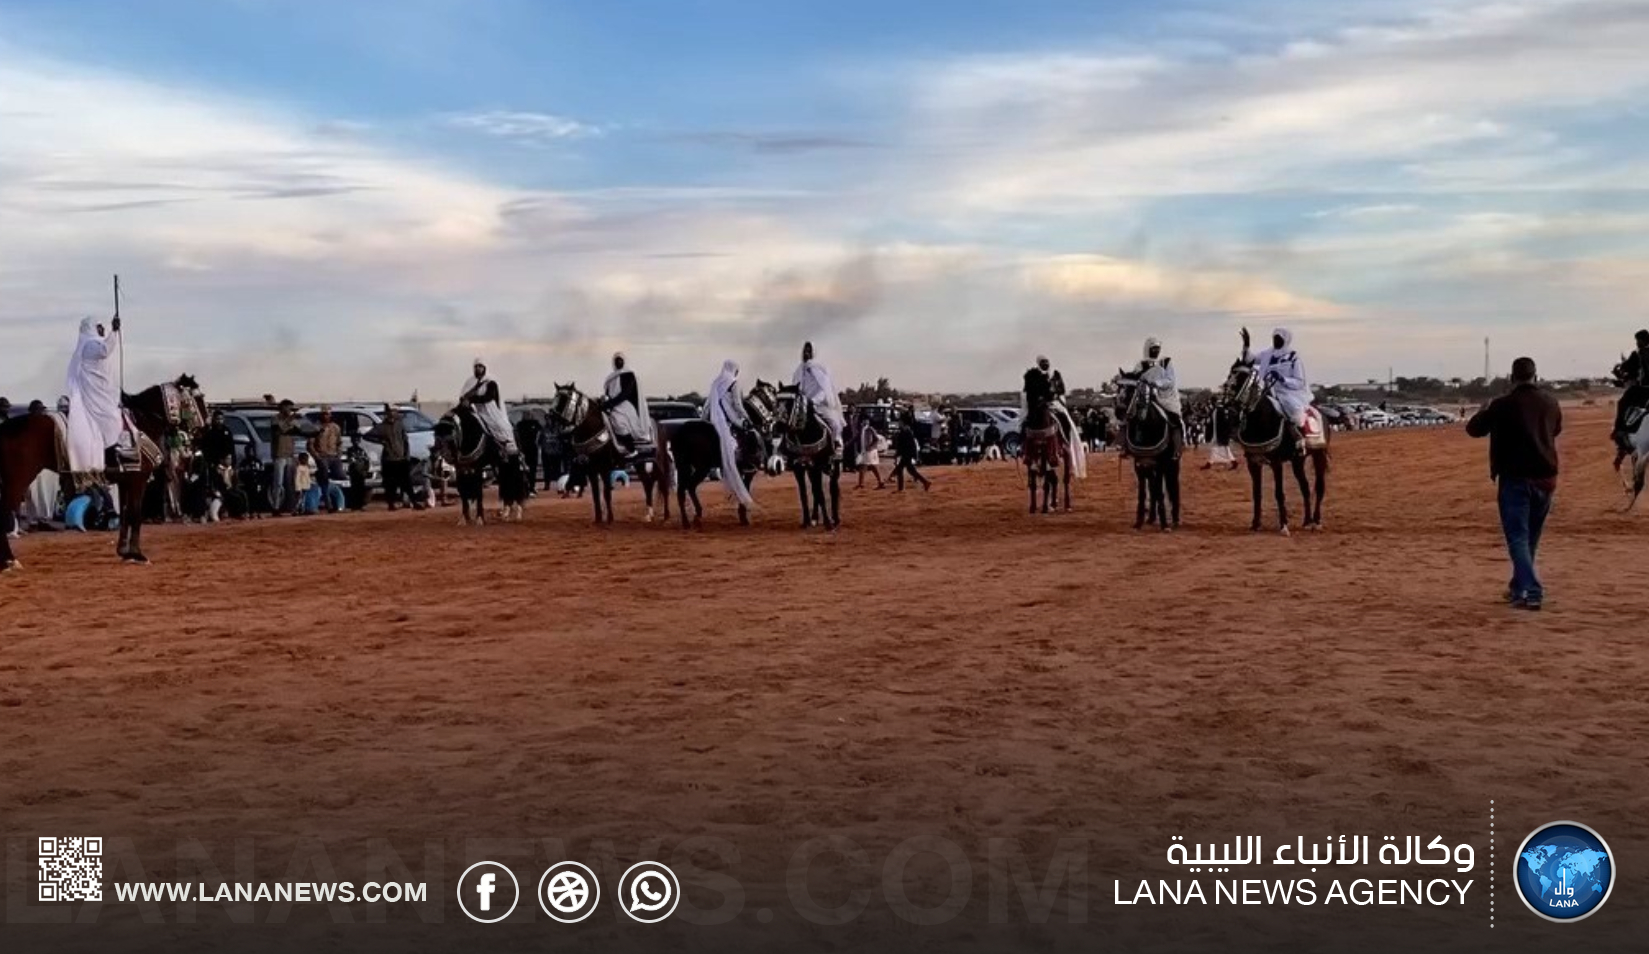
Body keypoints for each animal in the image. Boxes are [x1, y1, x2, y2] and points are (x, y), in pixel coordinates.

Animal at [546, 383, 666, 525]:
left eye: (564, 399)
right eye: (555, 397)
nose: (549, 417)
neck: (593, 428)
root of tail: (658, 424)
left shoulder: (605, 468)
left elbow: (606, 493)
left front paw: (610, 519)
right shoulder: (591, 470)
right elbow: (596, 494)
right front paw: (598, 519)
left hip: (655, 462)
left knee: (662, 483)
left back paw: (665, 515)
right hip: (641, 463)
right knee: (648, 483)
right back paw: (649, 515)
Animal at [667, 385, 774, 529]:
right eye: (770, 397)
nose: (771, 421)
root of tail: (681, 433)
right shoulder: (748, 471)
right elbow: (744, 489)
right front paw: (743, 517)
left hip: (685, 466)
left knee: (684, 489)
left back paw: (689, 520)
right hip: (701, 468)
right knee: (689, 486)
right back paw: (693, 517)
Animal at [762, 382, 841, 530]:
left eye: (792, 402)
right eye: (777, 402)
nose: (778, 426)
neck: (805, 435)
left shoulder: (817, 466)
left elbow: (820, 493)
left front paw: (828, 523)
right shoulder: (799, 468)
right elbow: (804, 494)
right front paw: (806, 521)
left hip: (834, 466)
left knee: (832, 488)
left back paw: (835, 519)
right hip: (811, 469)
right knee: (816, 491)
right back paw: (815, 518)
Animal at [1112, 372, 1182, 531]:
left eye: (1133, 389)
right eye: (1119, 388)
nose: (1119, 411)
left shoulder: (1160, 464)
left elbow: (1160, 491)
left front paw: (1164, 524)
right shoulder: (1139, 464)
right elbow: (1143, 492)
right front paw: (1139, 521)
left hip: (1171, 464)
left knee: (1171, 486)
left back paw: (1174, 519)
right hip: (1149, 466)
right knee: (1153, 488)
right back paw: (1150, 518)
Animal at [1219, 357, 1330, 535]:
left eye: (1243, 377)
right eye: (1230, 374)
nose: (1225, 403)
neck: (1261, 419)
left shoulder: (1276, 463)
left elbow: (1279, 493)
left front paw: (1283, 525)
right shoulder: (1253, 463)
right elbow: (1257, 493)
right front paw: (1255, 524)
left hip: (1319, 455)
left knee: (1319, 487)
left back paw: (1317, 522)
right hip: (1298, 461)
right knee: (1305, 487)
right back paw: (1307, 521)